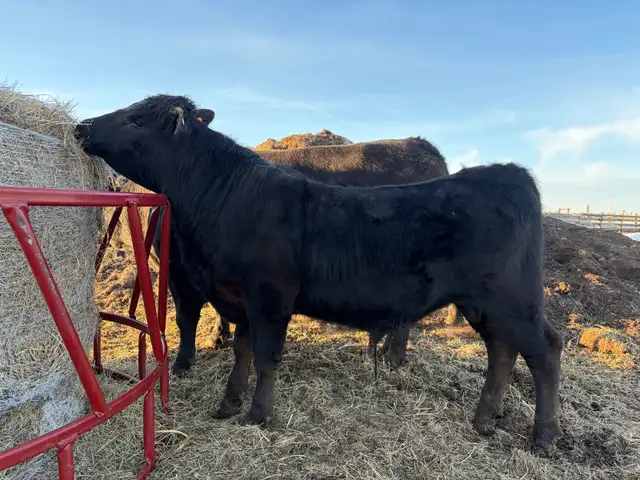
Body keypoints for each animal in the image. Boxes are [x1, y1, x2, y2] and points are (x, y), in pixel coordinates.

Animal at [75, 94, 563, 449]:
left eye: (137, 119)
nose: (82, 126)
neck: (229, 197)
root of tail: (508, 172)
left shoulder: (269, 296)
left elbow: (266, 356)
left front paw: (258, 414)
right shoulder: (239, 298)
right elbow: (242, 351)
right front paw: (228, 403)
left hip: (511, 300)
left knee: (544, 352)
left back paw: (543, 437)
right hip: (486, 306)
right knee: (502, 353)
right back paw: (483, 422)